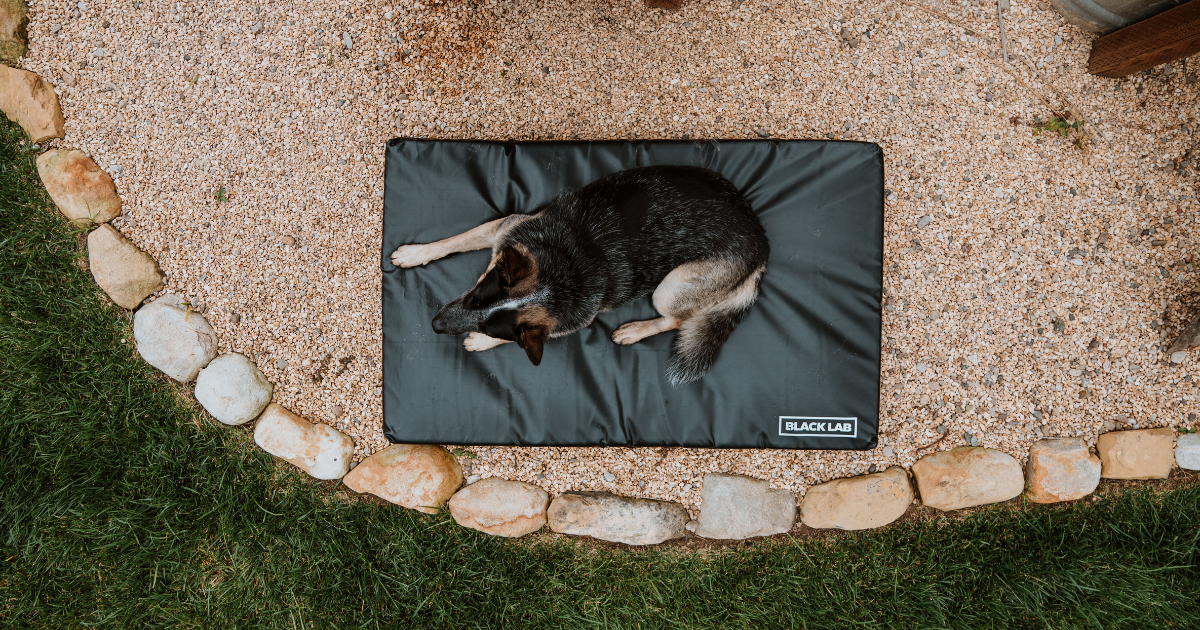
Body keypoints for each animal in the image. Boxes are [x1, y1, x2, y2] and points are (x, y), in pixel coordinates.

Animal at [388, 163, 772, 384]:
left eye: (488, 326)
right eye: (473, 295)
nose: (435, 324)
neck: (561, 272)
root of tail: (761, 242)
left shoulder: (565, 325)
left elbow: (524, 340)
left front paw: (482, 342)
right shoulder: (505, 231)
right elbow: (454, 241)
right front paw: (416, 253)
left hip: (670, 288)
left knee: (679, 319)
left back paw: (635, 330)